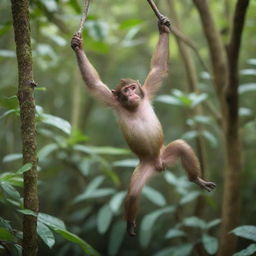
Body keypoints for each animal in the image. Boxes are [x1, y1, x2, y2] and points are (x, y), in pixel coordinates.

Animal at [70, 15, 216, 236]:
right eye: (125, 91)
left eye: (133, 87)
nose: (131, 94)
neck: (133, 106)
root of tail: (158, 164)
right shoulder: (113, 101)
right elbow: (94, 83)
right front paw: (78, 47)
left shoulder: (146, 92)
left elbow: (158, 69)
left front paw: (163, 29)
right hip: (144, 167)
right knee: (132, 195)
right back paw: (130, 222)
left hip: (164, 153)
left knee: (181, 147)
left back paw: (195, 179)